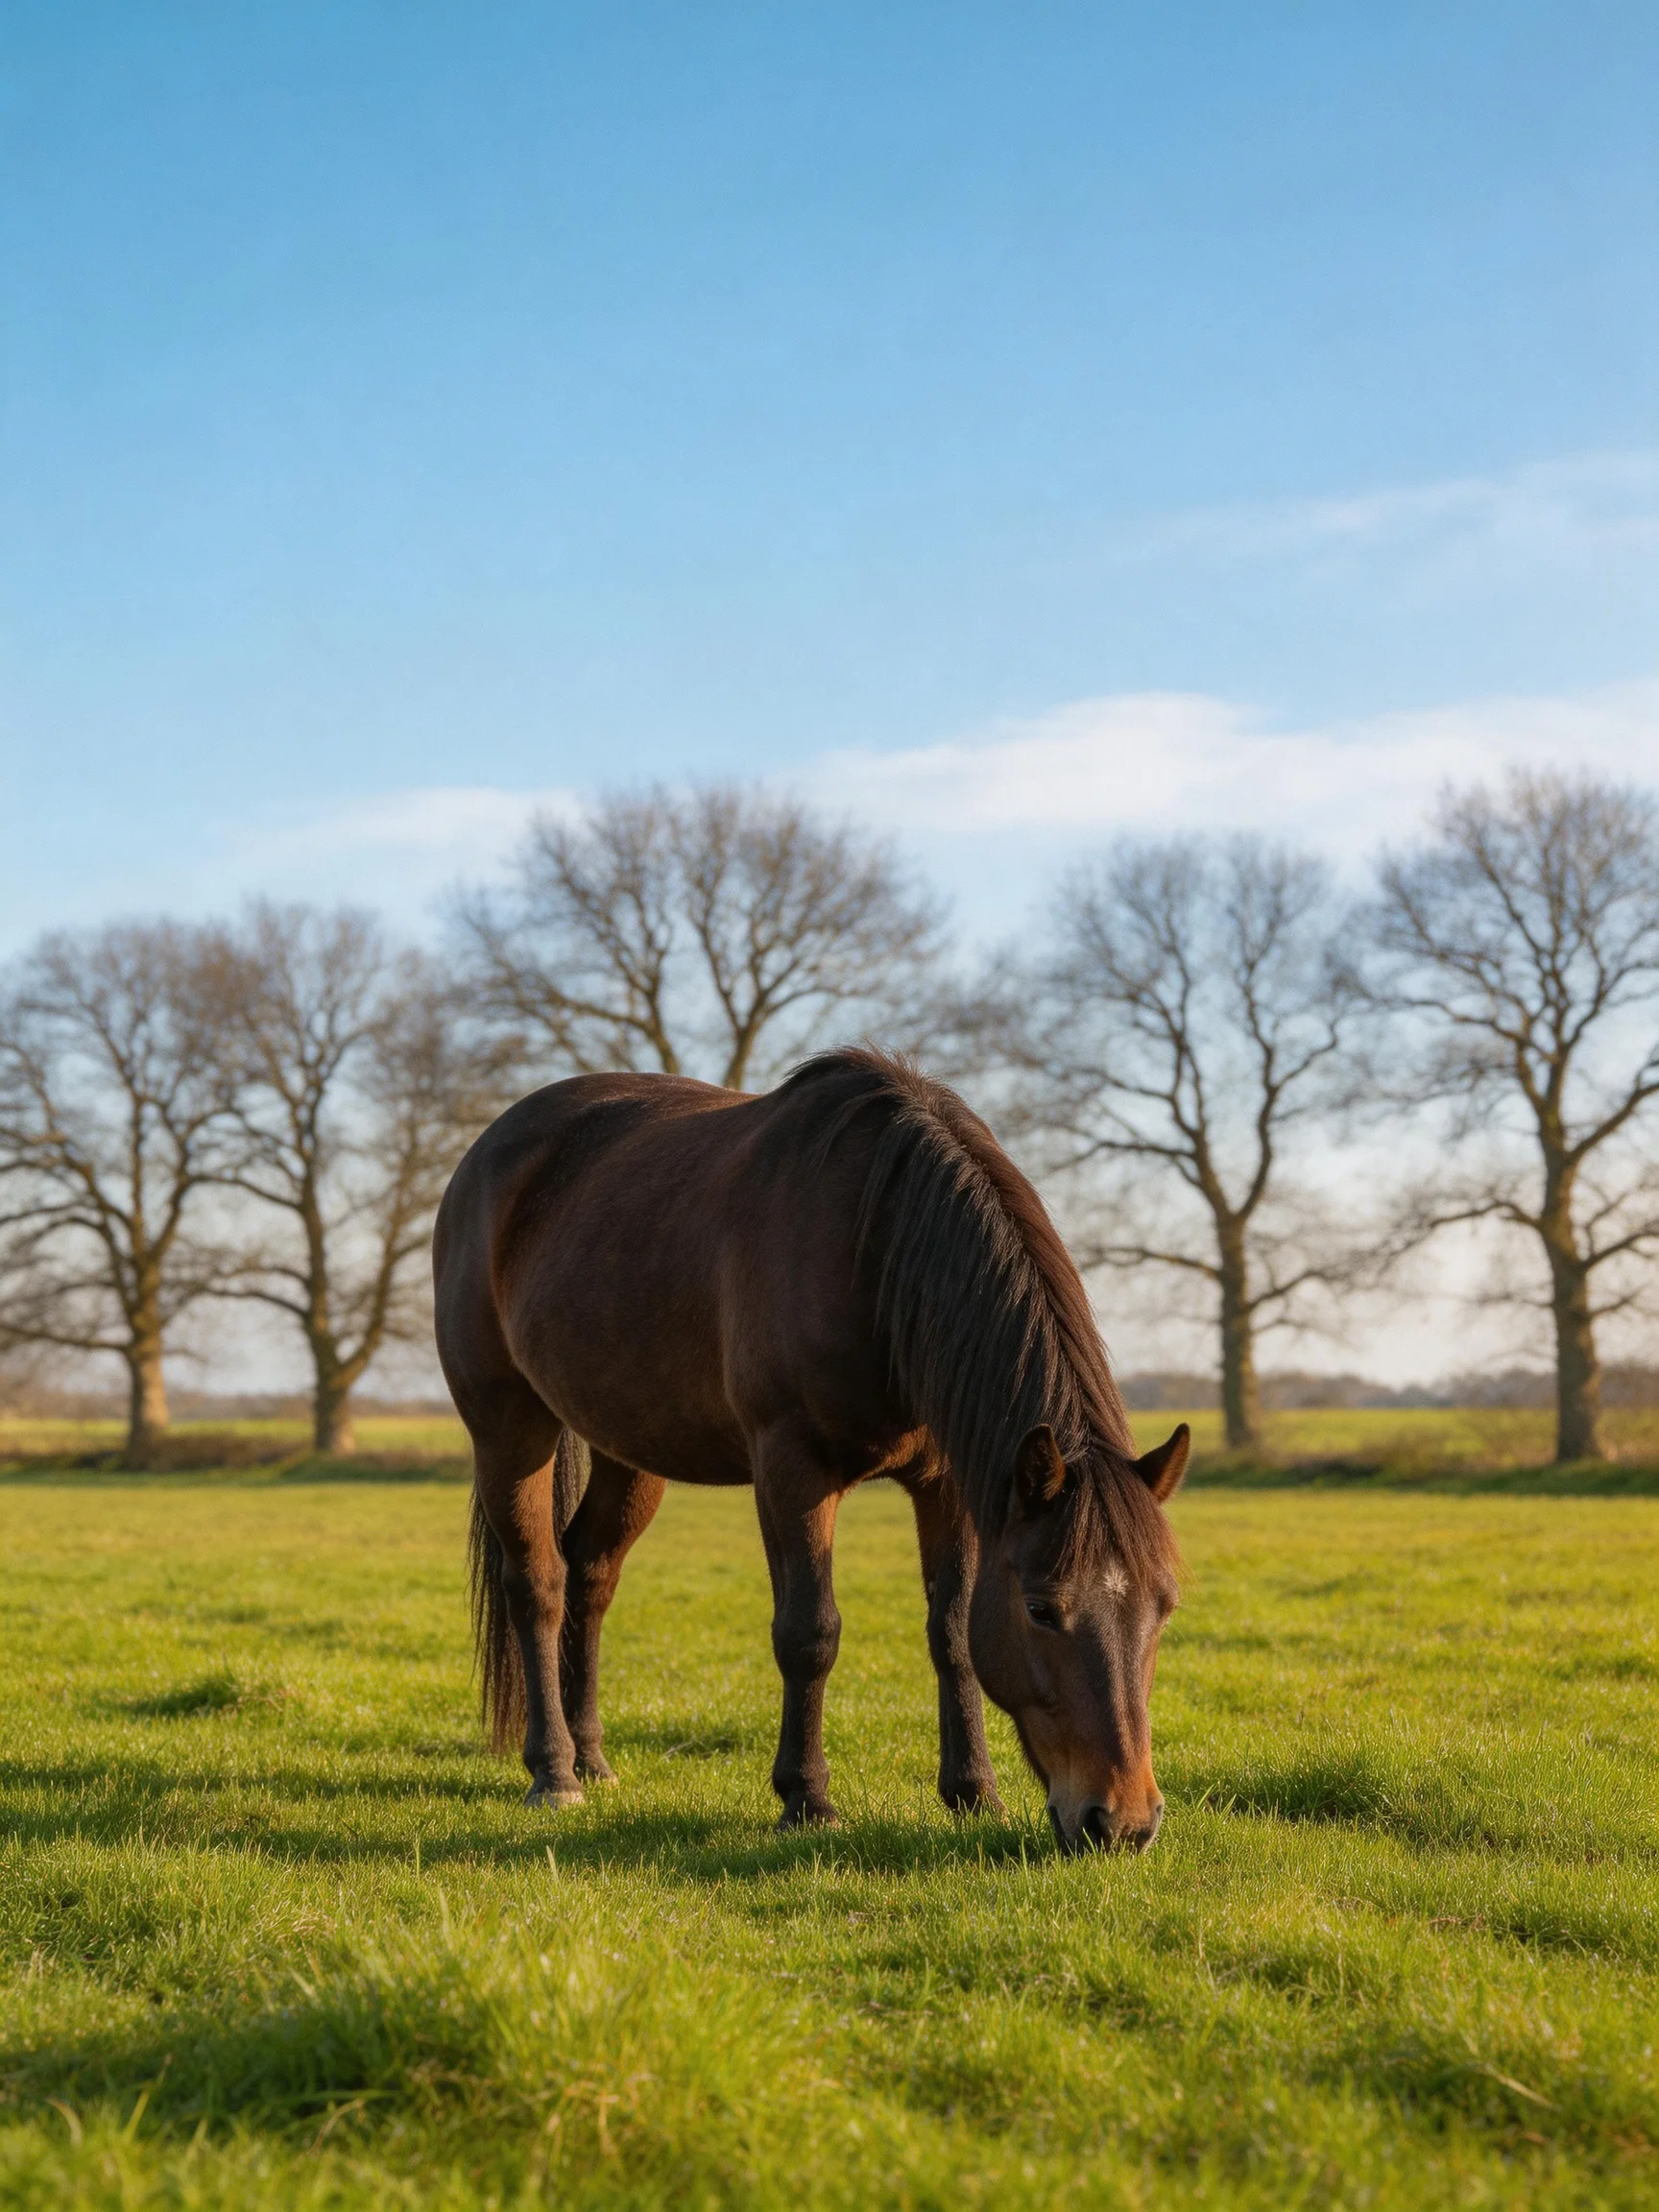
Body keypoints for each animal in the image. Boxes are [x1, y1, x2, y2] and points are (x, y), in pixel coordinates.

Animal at [432, 1048, 1189, 1854]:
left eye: (1164, 1605)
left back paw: (592, 1758)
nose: (1124, 1821)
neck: (876, 1245)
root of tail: (486, 1154)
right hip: (508, 1424)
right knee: (537, 1582)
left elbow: (953, 1633)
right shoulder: (792, 1469)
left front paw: (974, 1792)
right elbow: (809, 1632)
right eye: (1043, 1609)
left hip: (626, 1448)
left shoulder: (949, 1483)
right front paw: (806, 1798)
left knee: (591, 1574)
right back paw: (554, 1773)